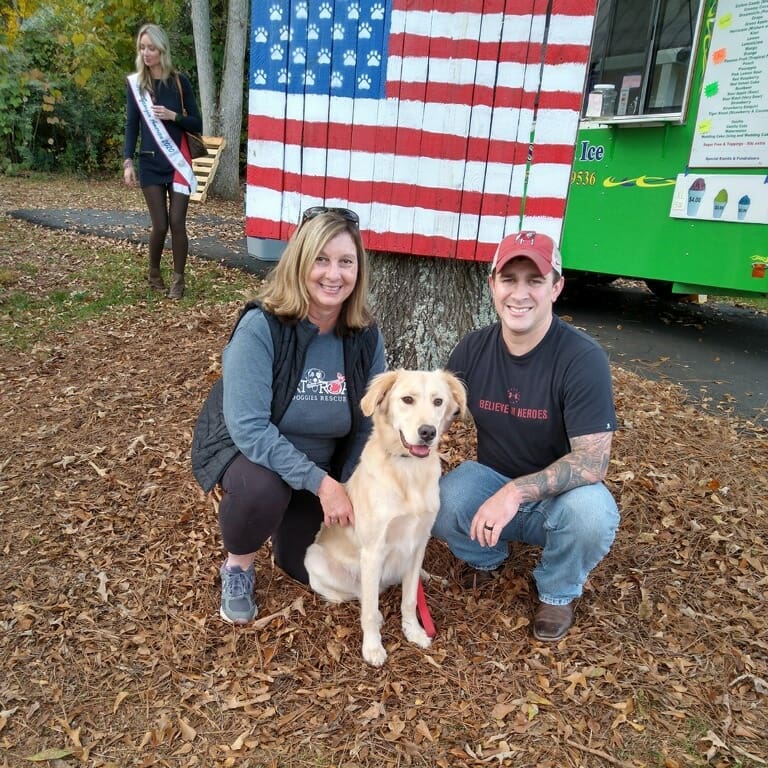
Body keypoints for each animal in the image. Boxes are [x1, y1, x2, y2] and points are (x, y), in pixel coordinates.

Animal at [304, 368, 464, 664]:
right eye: (407, 399)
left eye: (438, 401)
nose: (428, 432)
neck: (409, 470)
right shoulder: (373, 549)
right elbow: (368, 608)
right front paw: (373, 647)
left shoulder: (418, 541)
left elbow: (410, 599)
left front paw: (414, 631)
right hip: (315, 557)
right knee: (358, 594)